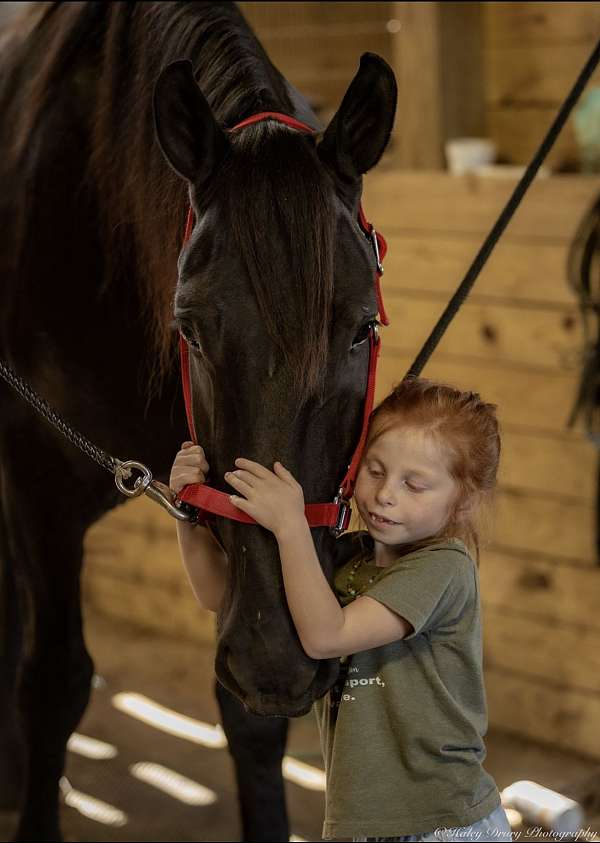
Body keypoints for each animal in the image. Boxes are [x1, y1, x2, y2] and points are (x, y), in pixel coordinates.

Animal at [0, 2, 396, 840]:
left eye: (361, 329)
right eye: (191, 328)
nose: (277, 654)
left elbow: (249, 720)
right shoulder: (35, 476)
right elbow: (53, 680)